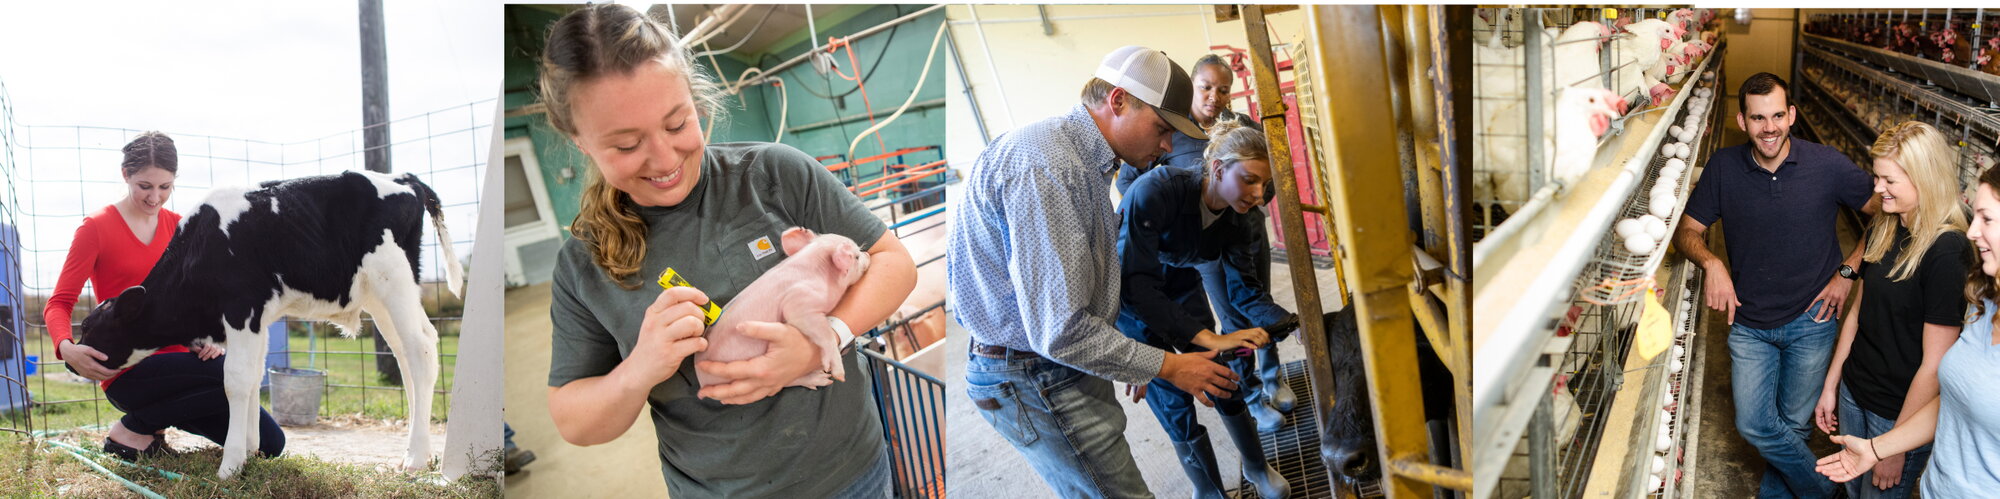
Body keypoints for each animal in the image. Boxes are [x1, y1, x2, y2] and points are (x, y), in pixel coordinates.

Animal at [78, 169, 464, 477]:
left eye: (91, 327)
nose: (73, 360)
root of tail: (402, 178)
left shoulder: (241, 309)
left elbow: (235, 380)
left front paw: (230, 464)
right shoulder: (258, 317)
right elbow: (252, 378)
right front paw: (251, 449)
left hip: (393, 278)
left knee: (421, 349)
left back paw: (415, 458)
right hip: (380, 296)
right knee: (407, 354)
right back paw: (418, 451)